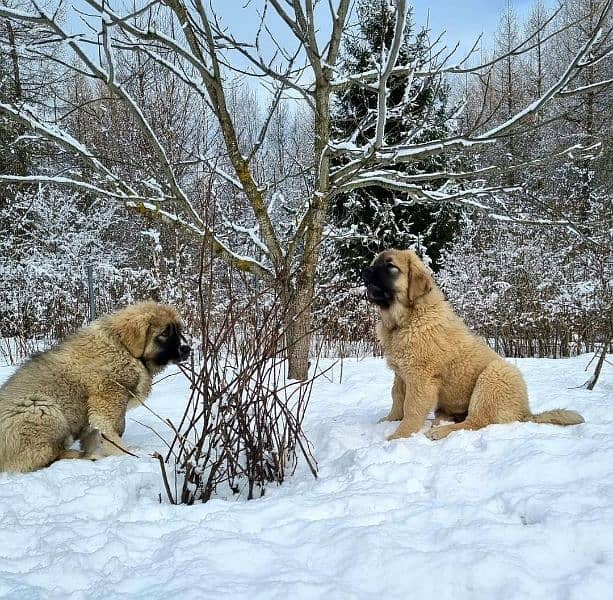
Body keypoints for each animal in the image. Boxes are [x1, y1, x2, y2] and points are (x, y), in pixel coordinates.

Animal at [0, 302, 189, 472]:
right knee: (44, 459)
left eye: (179, 331)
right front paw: (126, 454)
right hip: (42, 408)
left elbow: (94, 434)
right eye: (165, 333)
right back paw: (83, 457)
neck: (123, 348)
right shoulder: (107, 401)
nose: (187, 349)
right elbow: (109, 432)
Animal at [364, 248, 584, 440]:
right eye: (375, 262)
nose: (365, 270)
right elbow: (397, 397)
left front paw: (399, 435)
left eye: (391, 266)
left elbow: (411, 407)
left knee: (475, 421)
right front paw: (390, 420)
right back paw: (440, 421)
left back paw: (440, 431)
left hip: (493, 376)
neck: (406, 320)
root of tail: (525, 412)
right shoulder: (400, 374)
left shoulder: (421, 376)